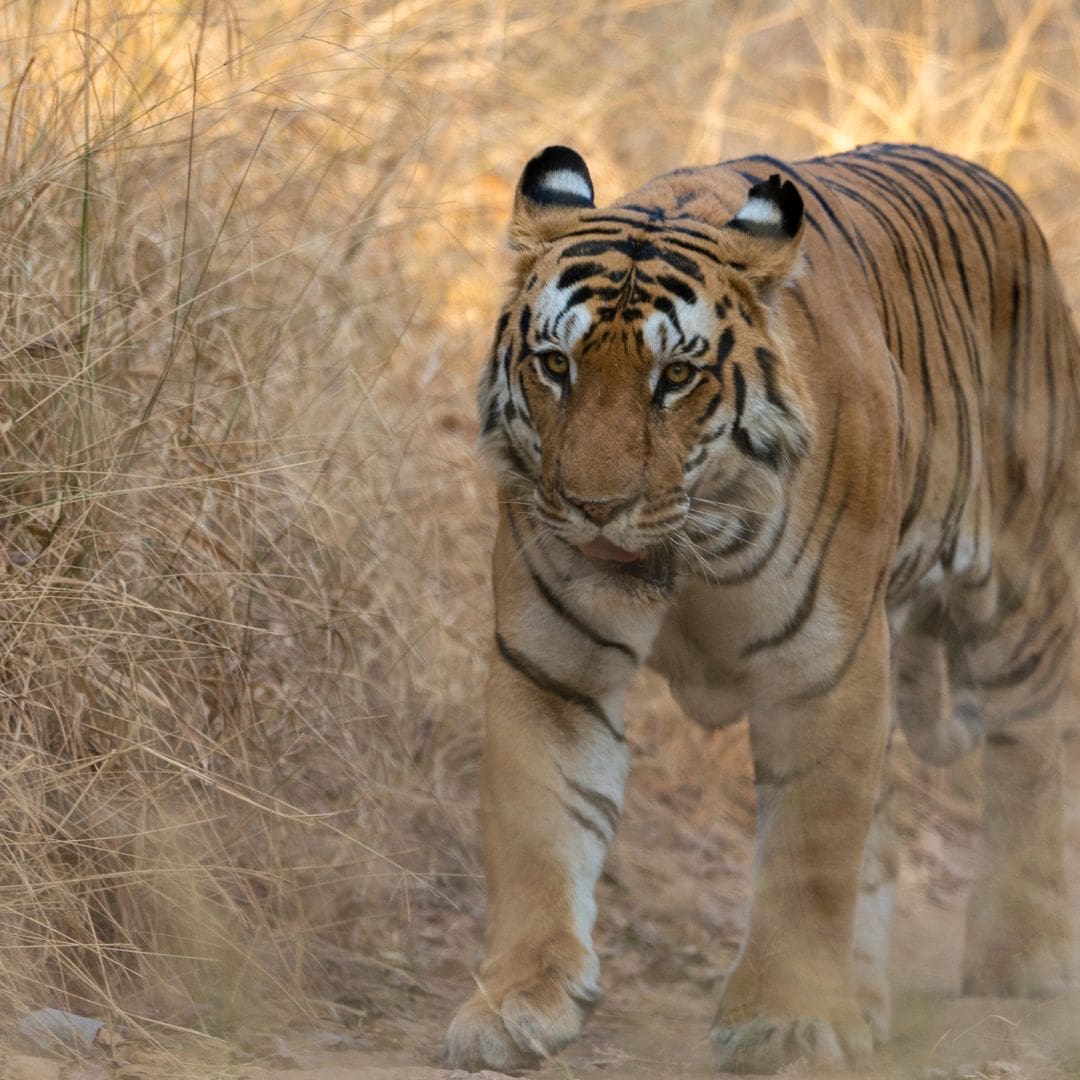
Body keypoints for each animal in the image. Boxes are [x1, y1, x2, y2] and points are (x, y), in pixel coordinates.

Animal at [445, 142, 1079, 1074]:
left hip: (1022, 590)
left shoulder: (825, 668)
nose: (595, 508)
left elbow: (809, 853)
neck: (688, 548)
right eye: (556, 365)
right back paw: (869, 1000)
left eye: (675, 377)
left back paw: (1023, 957)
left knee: (1030, 756)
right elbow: (539, 828)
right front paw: (515, 1003)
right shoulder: (551, 664)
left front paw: (784, 1019)